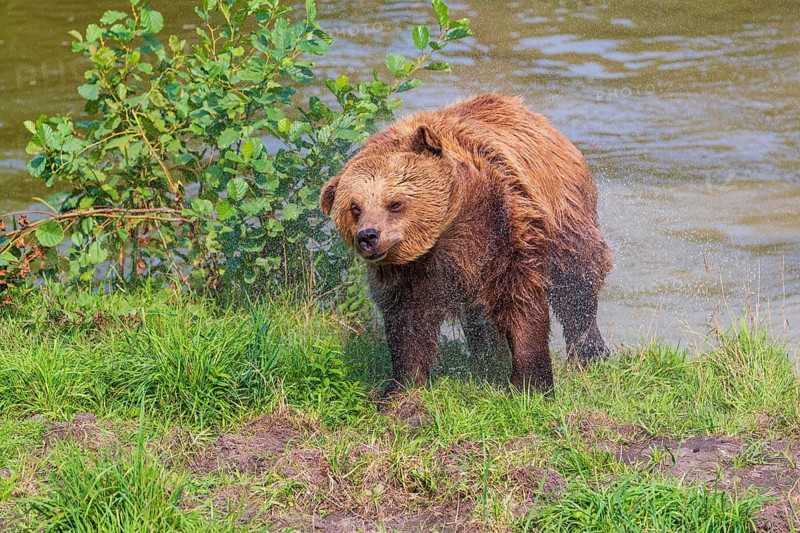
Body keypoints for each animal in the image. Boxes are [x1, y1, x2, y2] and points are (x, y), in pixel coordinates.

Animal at [320, 93, 612, 395]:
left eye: (395, 203)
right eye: (355, 207)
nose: (368, 236)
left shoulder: (503, 225)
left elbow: (520, 297)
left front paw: (530, 383)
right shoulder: (408, 272)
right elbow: (407, 321)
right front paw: (403, 387)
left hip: (566, 214)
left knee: (576, 280)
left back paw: (589, 352)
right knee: (477, 315)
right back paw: (486, 356)